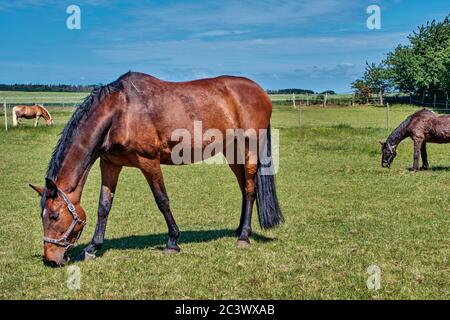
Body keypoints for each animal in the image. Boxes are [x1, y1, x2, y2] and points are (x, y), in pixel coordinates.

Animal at [29, 71, 282, 266]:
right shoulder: (110, 164)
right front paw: (92, 247)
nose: (51, 259)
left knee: (250, 189)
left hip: (250, 149)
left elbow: (162, 200)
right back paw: (239, 229)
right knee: (244, 187)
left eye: (54, 216)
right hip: (232, 152)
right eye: (42, 216)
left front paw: (172, 241)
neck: (120, 111)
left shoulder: (148, 161)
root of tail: (261, 92)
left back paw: (244, 237)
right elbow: (104, 206)